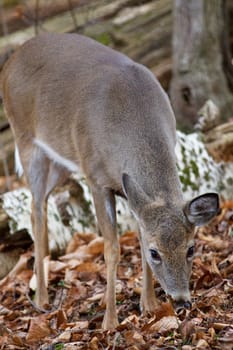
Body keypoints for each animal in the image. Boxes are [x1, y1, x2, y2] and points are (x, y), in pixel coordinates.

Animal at [0, 32, 219, 328]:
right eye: (156, 253)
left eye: (191, 249)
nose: (182, 300)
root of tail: (12, 59)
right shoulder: (96, 178)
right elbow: (112, 248)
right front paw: (110, 322)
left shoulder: (130, 190)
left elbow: (137, 236)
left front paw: (149, 305)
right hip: (25, 141)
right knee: (35, 210)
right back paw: (42, 298)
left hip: (61, 160)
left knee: (41, 204)